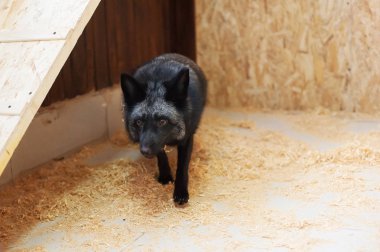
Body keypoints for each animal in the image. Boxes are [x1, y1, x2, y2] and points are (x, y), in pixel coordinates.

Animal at [120, 53, 206, 205]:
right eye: (139, 122)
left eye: (162, 121)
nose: (144, 151)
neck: (156, 81)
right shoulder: (157, 144)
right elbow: (161, 154)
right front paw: (165, 175)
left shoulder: (187, 138)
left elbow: (182, 167)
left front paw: (180, 191)